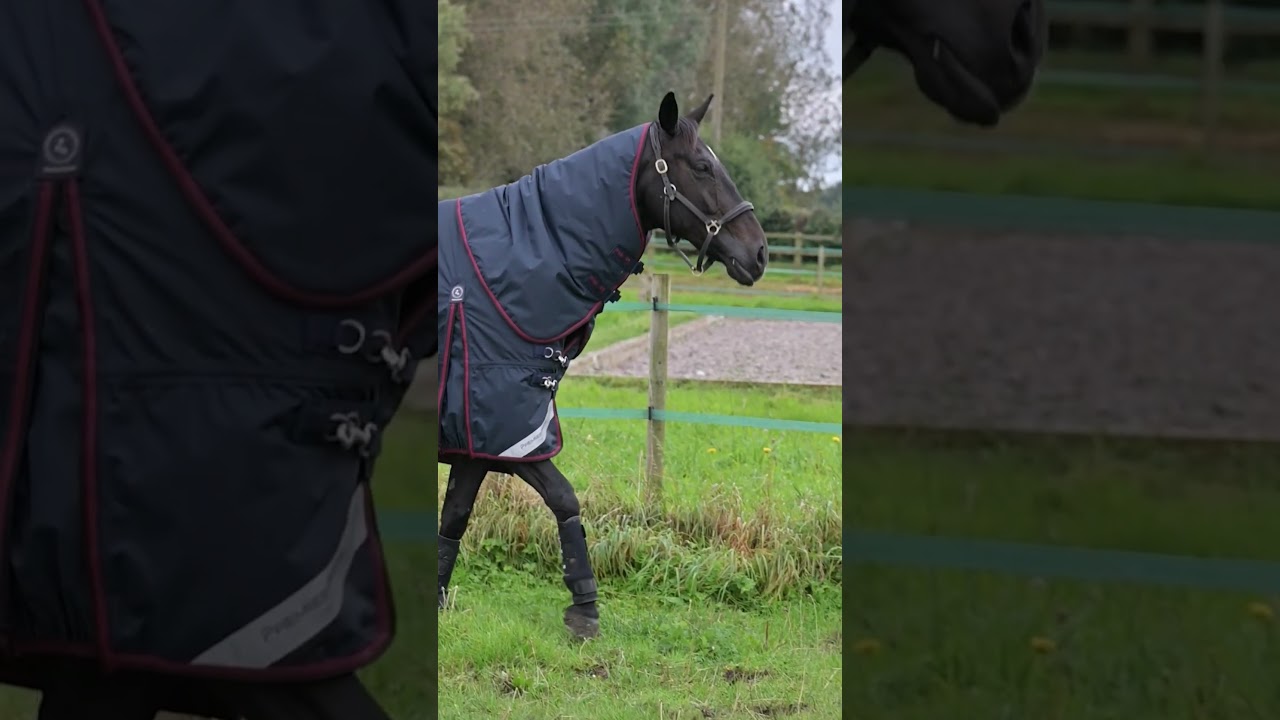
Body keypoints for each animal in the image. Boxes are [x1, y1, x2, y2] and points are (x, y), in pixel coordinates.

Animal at [436, 92, 767, 640]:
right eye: (702, 166)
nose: (759, 253)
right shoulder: (506, 429)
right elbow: (565, 499)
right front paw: (586, 609)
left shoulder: (480, 437)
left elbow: (455, 519)